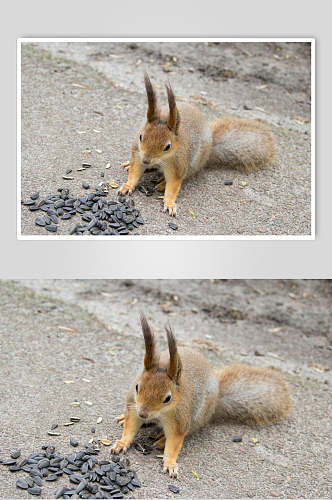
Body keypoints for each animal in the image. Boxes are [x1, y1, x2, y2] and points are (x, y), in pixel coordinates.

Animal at [111, 314, 290, 478]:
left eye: (168, 398)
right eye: (136, 387)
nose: (143, 413)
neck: (160, 414)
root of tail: (216, 403)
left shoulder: (180, 420)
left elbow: (175, 442)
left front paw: (170, 463)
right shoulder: (133, 406)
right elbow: (131, 426)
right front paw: (122, 443)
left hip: (197, 418)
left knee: (188, 432)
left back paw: (160, 439)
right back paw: (127, 420)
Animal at [118, 75, 274, 216]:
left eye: (167, 146)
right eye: (140, 136)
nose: (146, 160)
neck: (162, 160)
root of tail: (210, 151)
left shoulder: (178, 165)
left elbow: (174, 184)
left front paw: (169, 203)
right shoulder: (137, 153)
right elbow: (135, 171)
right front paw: (128, 185)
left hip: (193, 164)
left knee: (186, 176)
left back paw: (162, 183)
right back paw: (133, 166)